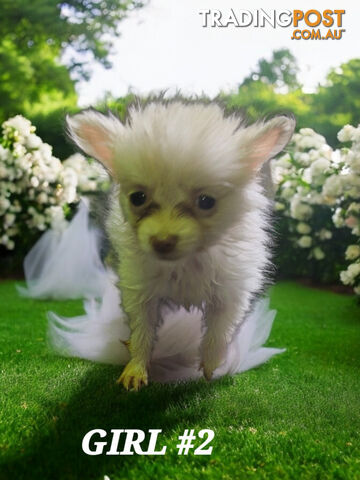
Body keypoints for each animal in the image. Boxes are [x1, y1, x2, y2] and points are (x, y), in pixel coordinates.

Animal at [67, 100, 296, 390]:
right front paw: (136, 367)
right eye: (138, 197)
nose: (162, 241)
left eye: (207, 201)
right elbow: (142, 330)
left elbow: (219, 329)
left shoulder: (230, 292)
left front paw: (211, 362)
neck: (186, 263)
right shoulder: (141, 292)